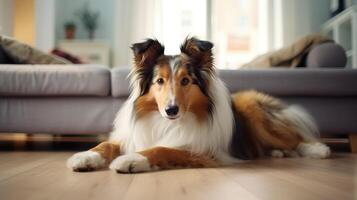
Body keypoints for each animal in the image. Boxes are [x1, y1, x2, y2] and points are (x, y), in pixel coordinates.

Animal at [67, 38, 328, 173]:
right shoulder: (129, 136)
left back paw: (318, 150)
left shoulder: (203, 151)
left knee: (296, 138)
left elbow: (162, 149)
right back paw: (275, 152)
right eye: (159, 81)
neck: (165, 123)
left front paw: (131, 160)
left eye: (186, 80)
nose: (171, 110)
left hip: (253, 110)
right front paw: (84, 157)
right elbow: (105, 144)